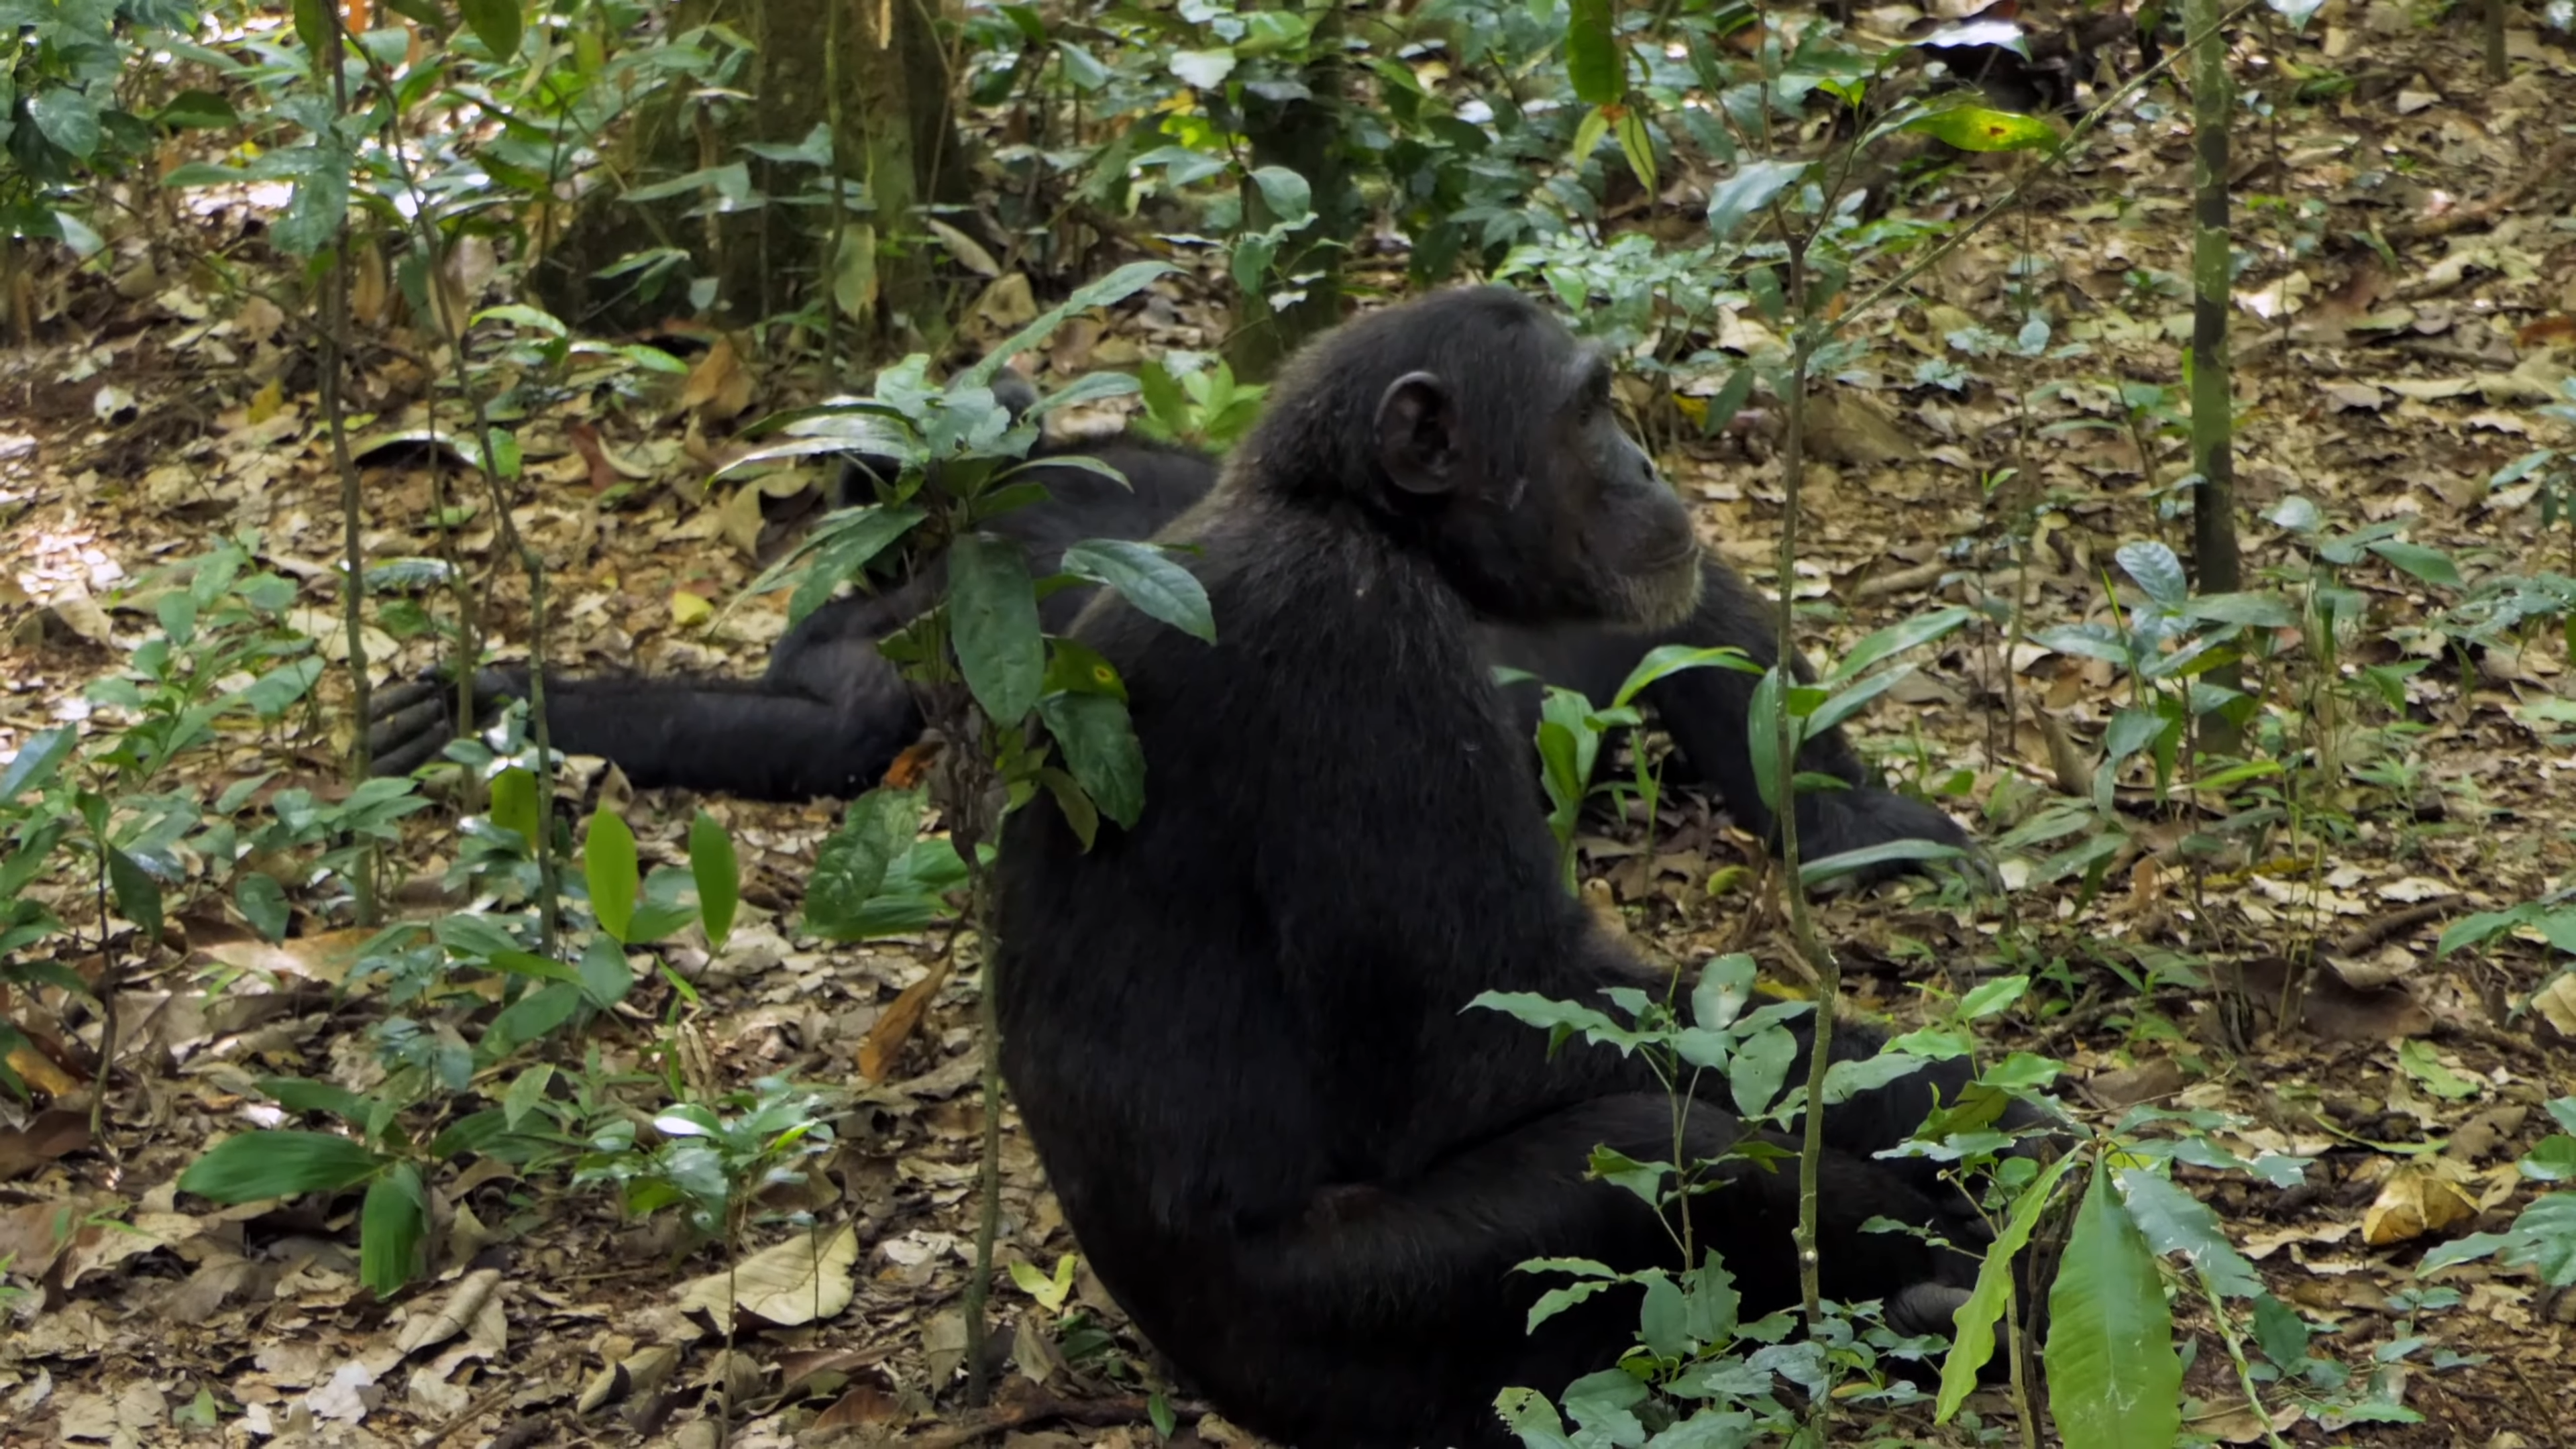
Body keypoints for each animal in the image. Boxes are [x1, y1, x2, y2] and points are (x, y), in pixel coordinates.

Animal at [989, 282, 2050, 1444]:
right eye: (1584, 412)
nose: (1645, 465)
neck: (1363, 522)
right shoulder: (1356, 650)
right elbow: (1484, 1026)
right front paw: (1969, 1111)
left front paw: (1854, 820)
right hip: (1357, 1329)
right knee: (1660, 1147)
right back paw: (1965, 1293)